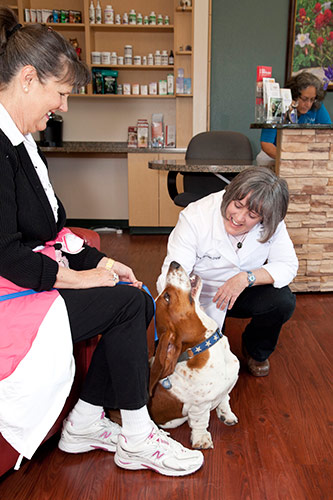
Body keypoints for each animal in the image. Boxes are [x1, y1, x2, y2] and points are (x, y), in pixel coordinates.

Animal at [148, 262, 239, 450]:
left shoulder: (227, 388)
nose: (174, 263)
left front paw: (226, 415)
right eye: (166, 296)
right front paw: (201, 439)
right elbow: (201, 422)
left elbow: (225, 399)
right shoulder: (199, 406)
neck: (206, 344)